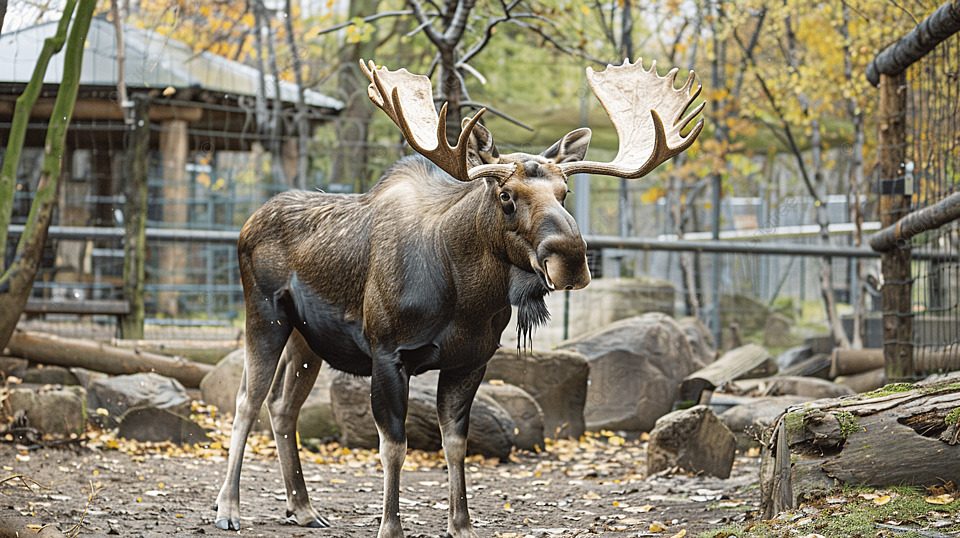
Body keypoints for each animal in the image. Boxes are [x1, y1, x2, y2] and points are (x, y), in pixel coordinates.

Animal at [214, 57, 703, 537]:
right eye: (506, 195)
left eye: (564, 193)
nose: (571, 259)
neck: (465, 299)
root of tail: (247, 223)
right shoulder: (387, 353)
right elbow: (394, 445)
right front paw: (390, 526)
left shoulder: (470, 361)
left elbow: (456, 444)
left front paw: (461, 525)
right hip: (264, 315)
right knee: (247, 402)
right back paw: (229, 508)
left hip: (307, 338)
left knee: (282, 407)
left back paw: (302, 507)